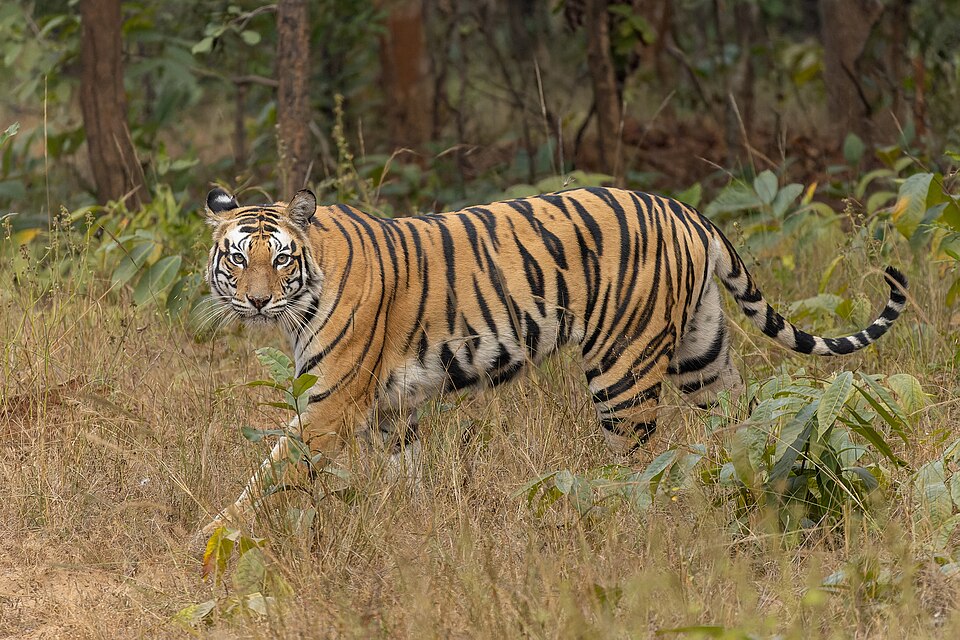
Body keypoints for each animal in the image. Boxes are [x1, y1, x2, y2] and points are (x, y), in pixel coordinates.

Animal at [200, 185, 907, 532]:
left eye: (279, 258)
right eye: (238, 257)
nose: (257, 300)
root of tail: (686, 210)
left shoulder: (331, 403)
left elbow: (269, 472)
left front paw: (216, 535)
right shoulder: (390, 410)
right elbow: (408, 476)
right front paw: (417, 527)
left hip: (624, 370)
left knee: (640, 464)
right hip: (702, 355)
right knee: (740, 426)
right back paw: (746, 492)